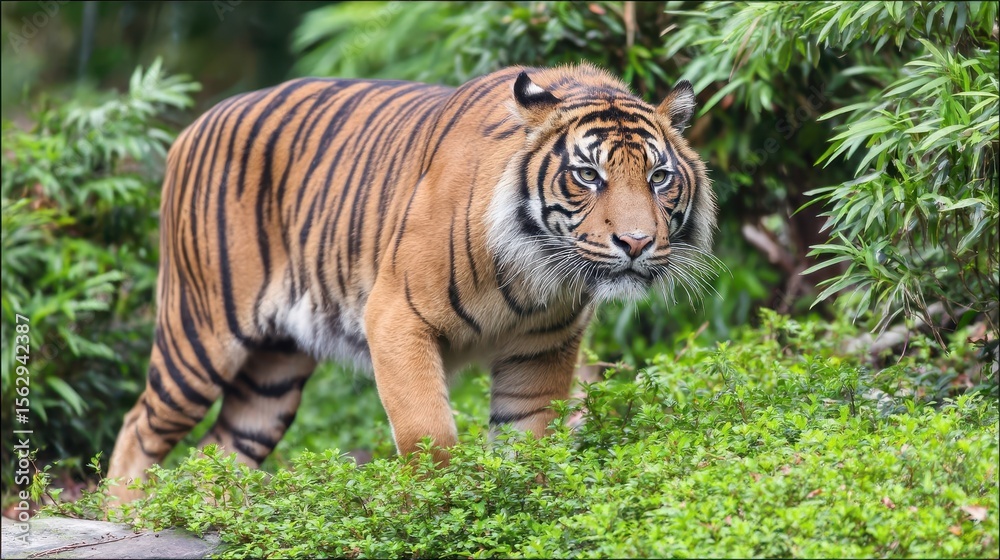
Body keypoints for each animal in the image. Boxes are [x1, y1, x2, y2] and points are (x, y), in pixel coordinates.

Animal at [106, 63, 717, 501]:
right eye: (588, 175)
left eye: (660, 177)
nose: (636, 243)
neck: (535, 270)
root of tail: (194, 124)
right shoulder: (397, 315)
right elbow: (430, 434)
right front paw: (437, 510)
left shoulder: (541, 349)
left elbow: (530, 441)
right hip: (201, 335)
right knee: (139, 425)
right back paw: (129, 514)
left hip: (273, 373)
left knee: (218, 448)